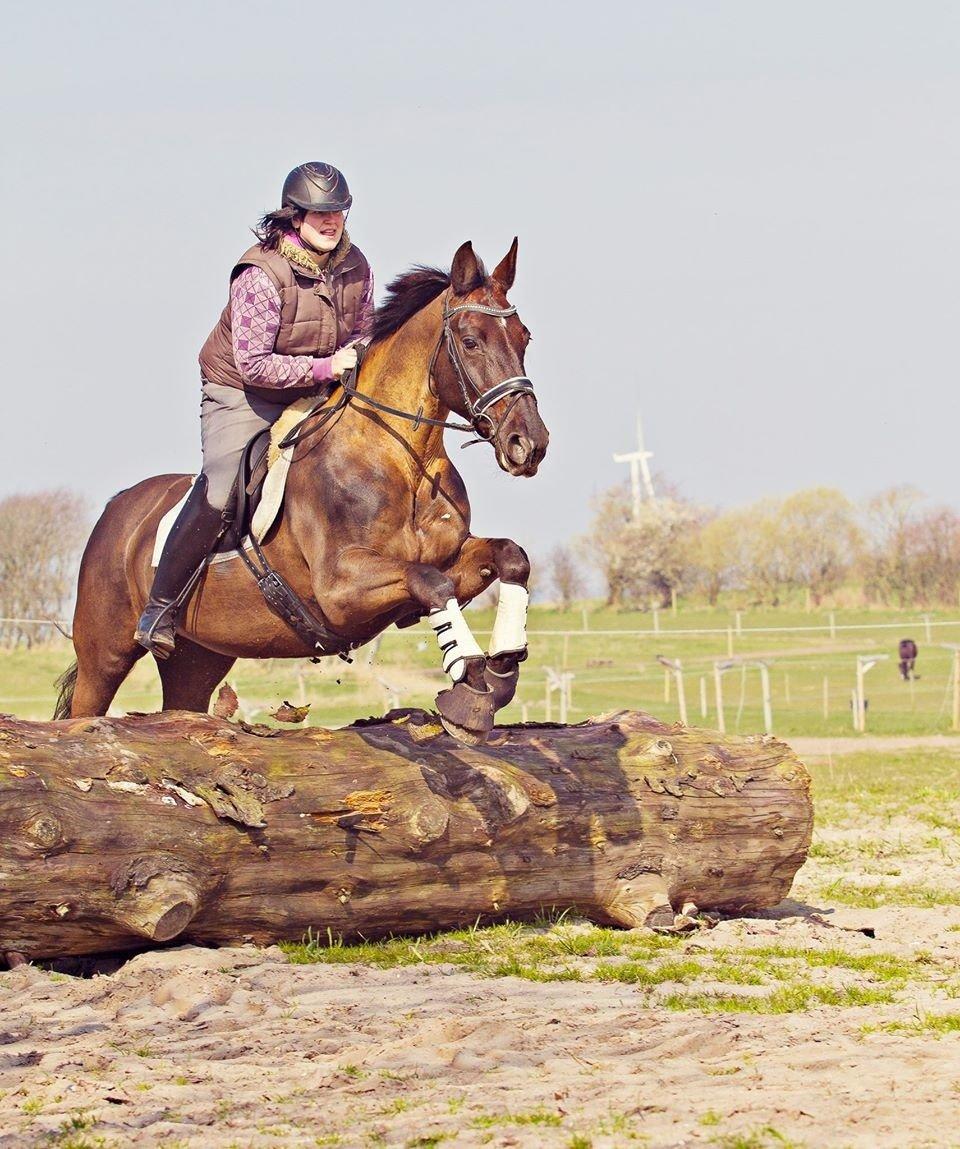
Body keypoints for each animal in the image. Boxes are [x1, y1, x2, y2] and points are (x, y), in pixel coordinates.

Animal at [54, 240, 546, 744]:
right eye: (470, 341)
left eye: (524, 338)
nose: (528, 444)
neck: (404, 459)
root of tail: (117, 505)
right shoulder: (341, 590)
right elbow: (430, 581)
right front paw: (469, 687)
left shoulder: (449, 556)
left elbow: (510, 557)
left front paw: (502, 669)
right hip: (104, 653)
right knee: (85, 705)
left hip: (198, 656)